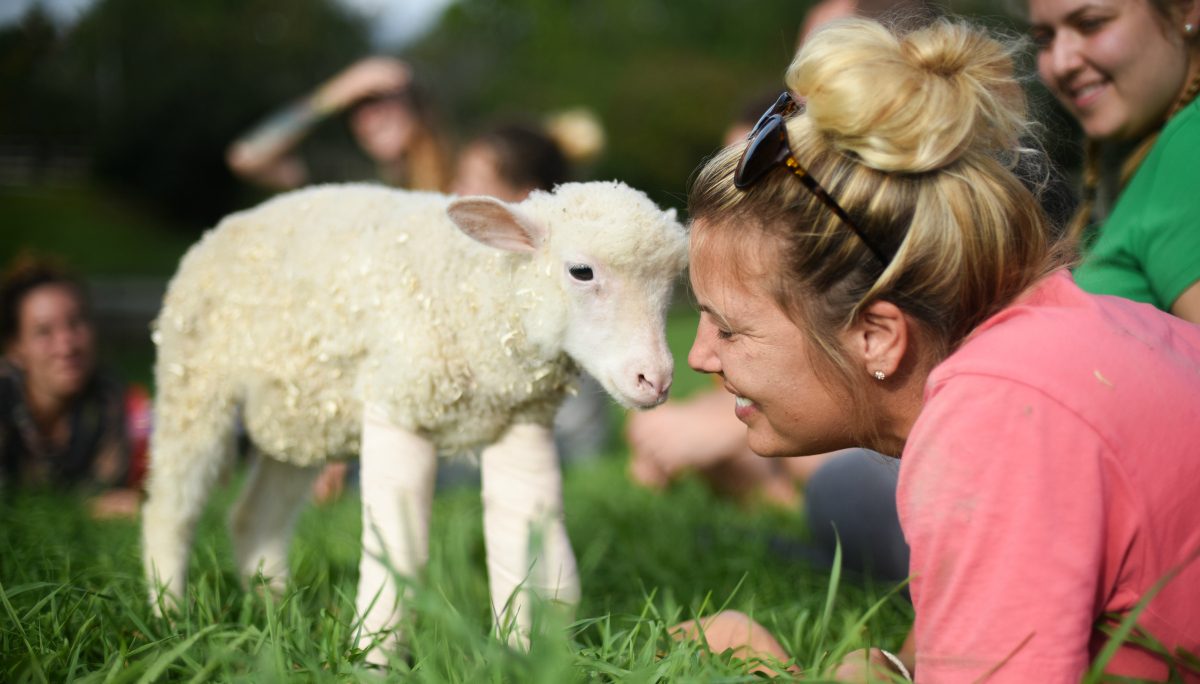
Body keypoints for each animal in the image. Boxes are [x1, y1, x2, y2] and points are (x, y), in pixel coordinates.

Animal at [142, 178, 686, 652]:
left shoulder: (522, 418)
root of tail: (226, 224)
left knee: (256, 516)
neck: (476, 295)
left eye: (672, 284)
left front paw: (527, 654)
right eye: (581, 272)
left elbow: (535, 559)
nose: (655, 380)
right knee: (172, 507)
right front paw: (373, 656)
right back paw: (168, 613)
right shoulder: (401, 402)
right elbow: (399, 556)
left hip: (300, 413)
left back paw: (272, 609)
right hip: (192, 376)